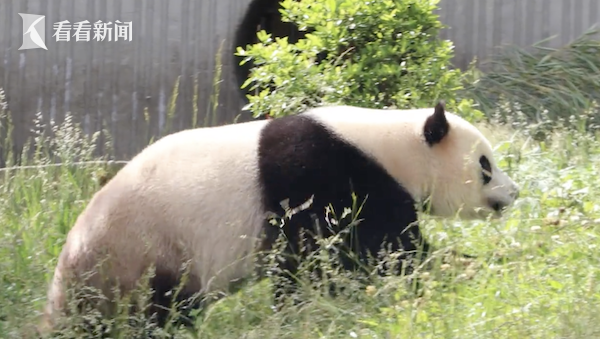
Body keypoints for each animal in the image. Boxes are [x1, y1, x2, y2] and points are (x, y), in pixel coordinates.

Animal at [39, 101, 520, 334]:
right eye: (485, 164)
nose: (513, 193)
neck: (390, 145)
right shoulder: (322, 177)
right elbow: (367, 253)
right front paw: (459, 269)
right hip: (143, 251)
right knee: (159, 308)